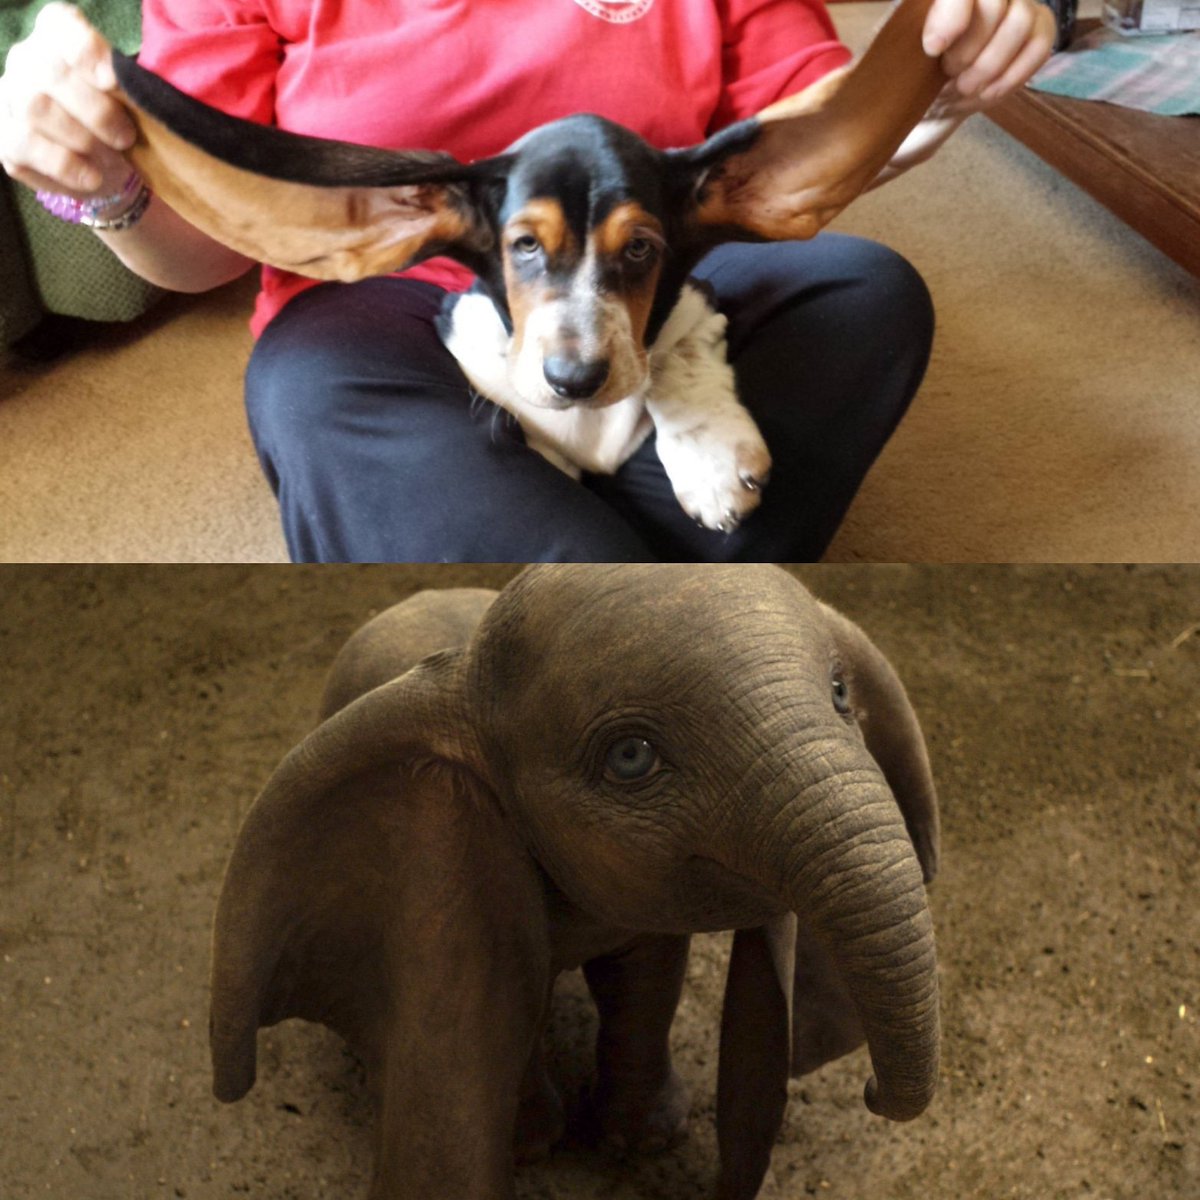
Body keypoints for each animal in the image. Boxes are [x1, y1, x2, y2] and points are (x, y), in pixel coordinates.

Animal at [209, 564, 941, 1199]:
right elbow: (510, 999)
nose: (872, 1092)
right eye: (631, 757)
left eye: (841, 693)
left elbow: (647, 978)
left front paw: (645, 1143)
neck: (465, 674)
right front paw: (532, 1148)